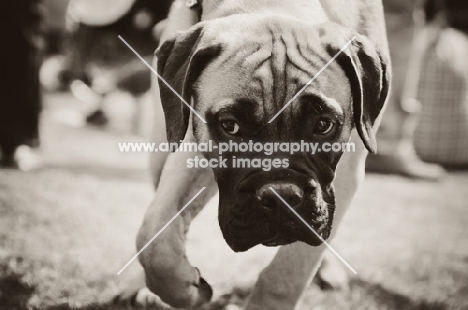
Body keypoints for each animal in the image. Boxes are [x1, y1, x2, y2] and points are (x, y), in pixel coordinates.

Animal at [121, 0, 392, 310]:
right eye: (230, 126)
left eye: (323, 125)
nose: (280, 196)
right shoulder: (190, 142)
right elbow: (155, 238)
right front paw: (186, 288)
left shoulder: (346, 174)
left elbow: (286, 275)